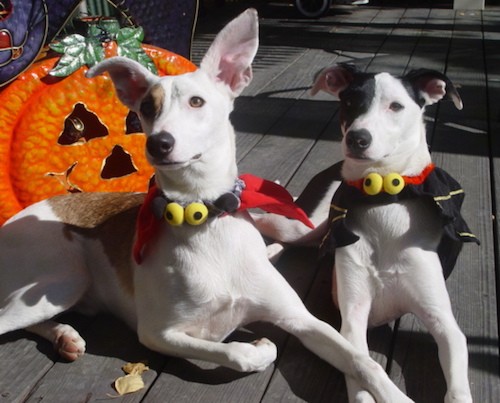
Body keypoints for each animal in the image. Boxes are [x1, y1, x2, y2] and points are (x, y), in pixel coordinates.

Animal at [0, 9, 412, 403]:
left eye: (196, 102)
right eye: (146, 108)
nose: (158, 143)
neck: (205, 217)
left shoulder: (301, 318)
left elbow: (363, 361)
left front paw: (394, 394)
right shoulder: (157, 332)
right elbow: (238, 352)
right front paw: (258, 348)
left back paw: (64, 334)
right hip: (64, 278)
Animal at [256, 64, 478, 402]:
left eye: (396, 106)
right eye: (350, 102)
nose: (357, 138)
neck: (382, 197)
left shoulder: (444, 324)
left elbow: (457, 391)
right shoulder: (352, 322)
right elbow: (363, 381)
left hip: (307, 231)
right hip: (299, 225)